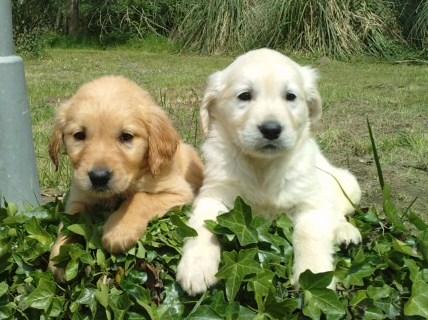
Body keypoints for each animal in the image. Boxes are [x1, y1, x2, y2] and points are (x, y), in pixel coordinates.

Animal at [49, 76, 203, 278]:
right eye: (79, 135)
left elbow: (141, 198)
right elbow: (69, 224)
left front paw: (119, 231)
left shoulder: (178, 192)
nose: (99, 177)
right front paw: (61, 255)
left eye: (126, 136)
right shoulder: (78, 197)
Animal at [176, 48, 362, 296]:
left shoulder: (310, 202)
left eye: (290, 96)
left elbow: (309, 233)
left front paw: (314, 275)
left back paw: (345, 232)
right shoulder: (215, 193)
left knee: (337, 211)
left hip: (347, 184)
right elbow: (202, 223)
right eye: (244, 96)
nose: (271, 129)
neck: (262, 166)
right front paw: (196, 266)